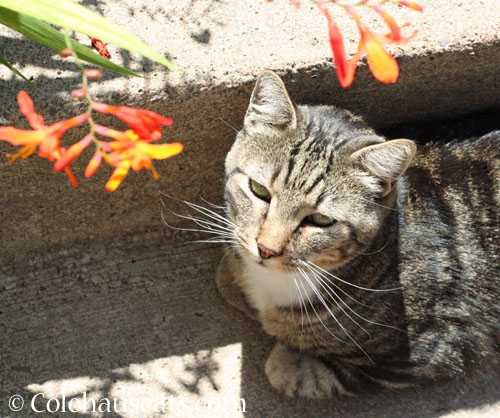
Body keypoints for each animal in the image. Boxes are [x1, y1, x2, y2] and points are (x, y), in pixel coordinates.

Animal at [212, 70, 500, 396]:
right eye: (258, 190)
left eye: (320, 219)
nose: (266, 248)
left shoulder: (430, 351)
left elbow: (309, 370)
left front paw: (287, 354)